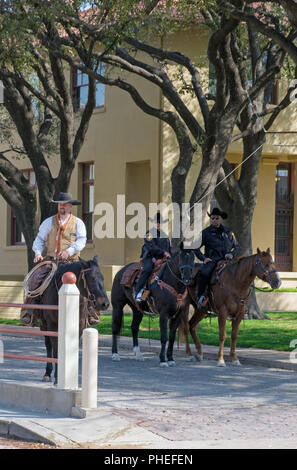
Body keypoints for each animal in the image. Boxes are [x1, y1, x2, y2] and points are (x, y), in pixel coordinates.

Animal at [38, 255, 108, 384]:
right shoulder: (52, 326)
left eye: (102, 278)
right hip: (44, 324)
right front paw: (57, 377)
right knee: (48, 345)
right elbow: (56, 351)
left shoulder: (80, 326)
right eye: (91, 279)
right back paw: (47, 373)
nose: (105, 304)